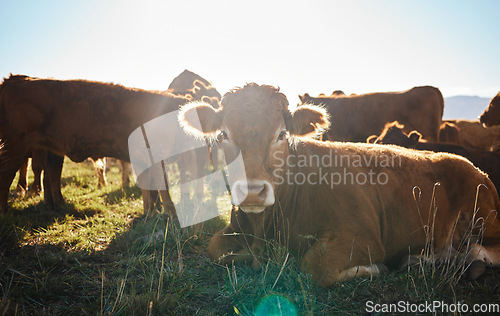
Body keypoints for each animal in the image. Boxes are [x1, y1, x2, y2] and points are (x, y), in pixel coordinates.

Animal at [0, 73, 190, 215]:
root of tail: (12, 80)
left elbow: (151, 189)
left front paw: (152, 212)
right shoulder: (153, 156)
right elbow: (160, 187)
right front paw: (168, 214)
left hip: (47, 148)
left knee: (51, 170)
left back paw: (58, 204)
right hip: (16, 146)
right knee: (8, 174)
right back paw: (6, 212)